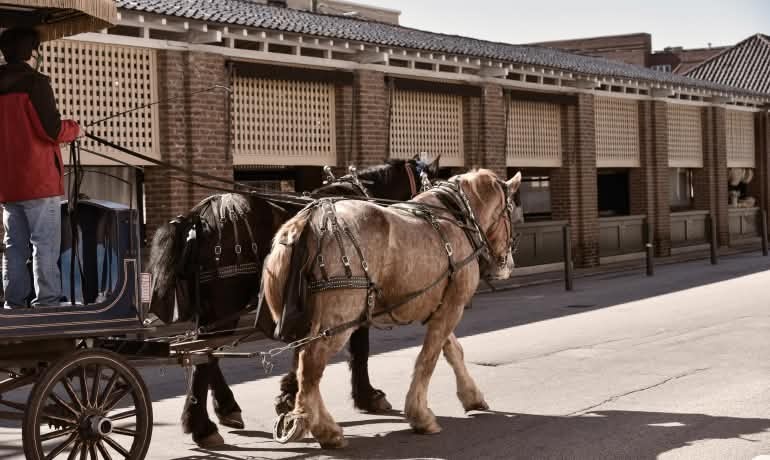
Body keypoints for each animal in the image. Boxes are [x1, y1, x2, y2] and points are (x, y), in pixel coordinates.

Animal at [147, 156, 440, 447]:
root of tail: (198, 217)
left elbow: (304, 349)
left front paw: (288, 394)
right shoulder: (355, 297)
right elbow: (359, 350)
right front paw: (367, 396)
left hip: (211, 311)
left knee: (204, 355)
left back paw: (222, 410)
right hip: (225, 306)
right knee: (204, 356)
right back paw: (203, 426)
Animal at [263, 169, 522, 448]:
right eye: (510, 210)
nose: (508, 264)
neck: (456, 219)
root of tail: (307, 222)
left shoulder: (438, 307)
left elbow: (453, 351)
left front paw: (471, 396)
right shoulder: (453, 306)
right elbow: (428, 359)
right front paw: (420, 416)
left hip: (311, 322)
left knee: (302, 363)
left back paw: (306, 418)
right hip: (338, 321)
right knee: (310, 365)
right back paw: (322, 428)